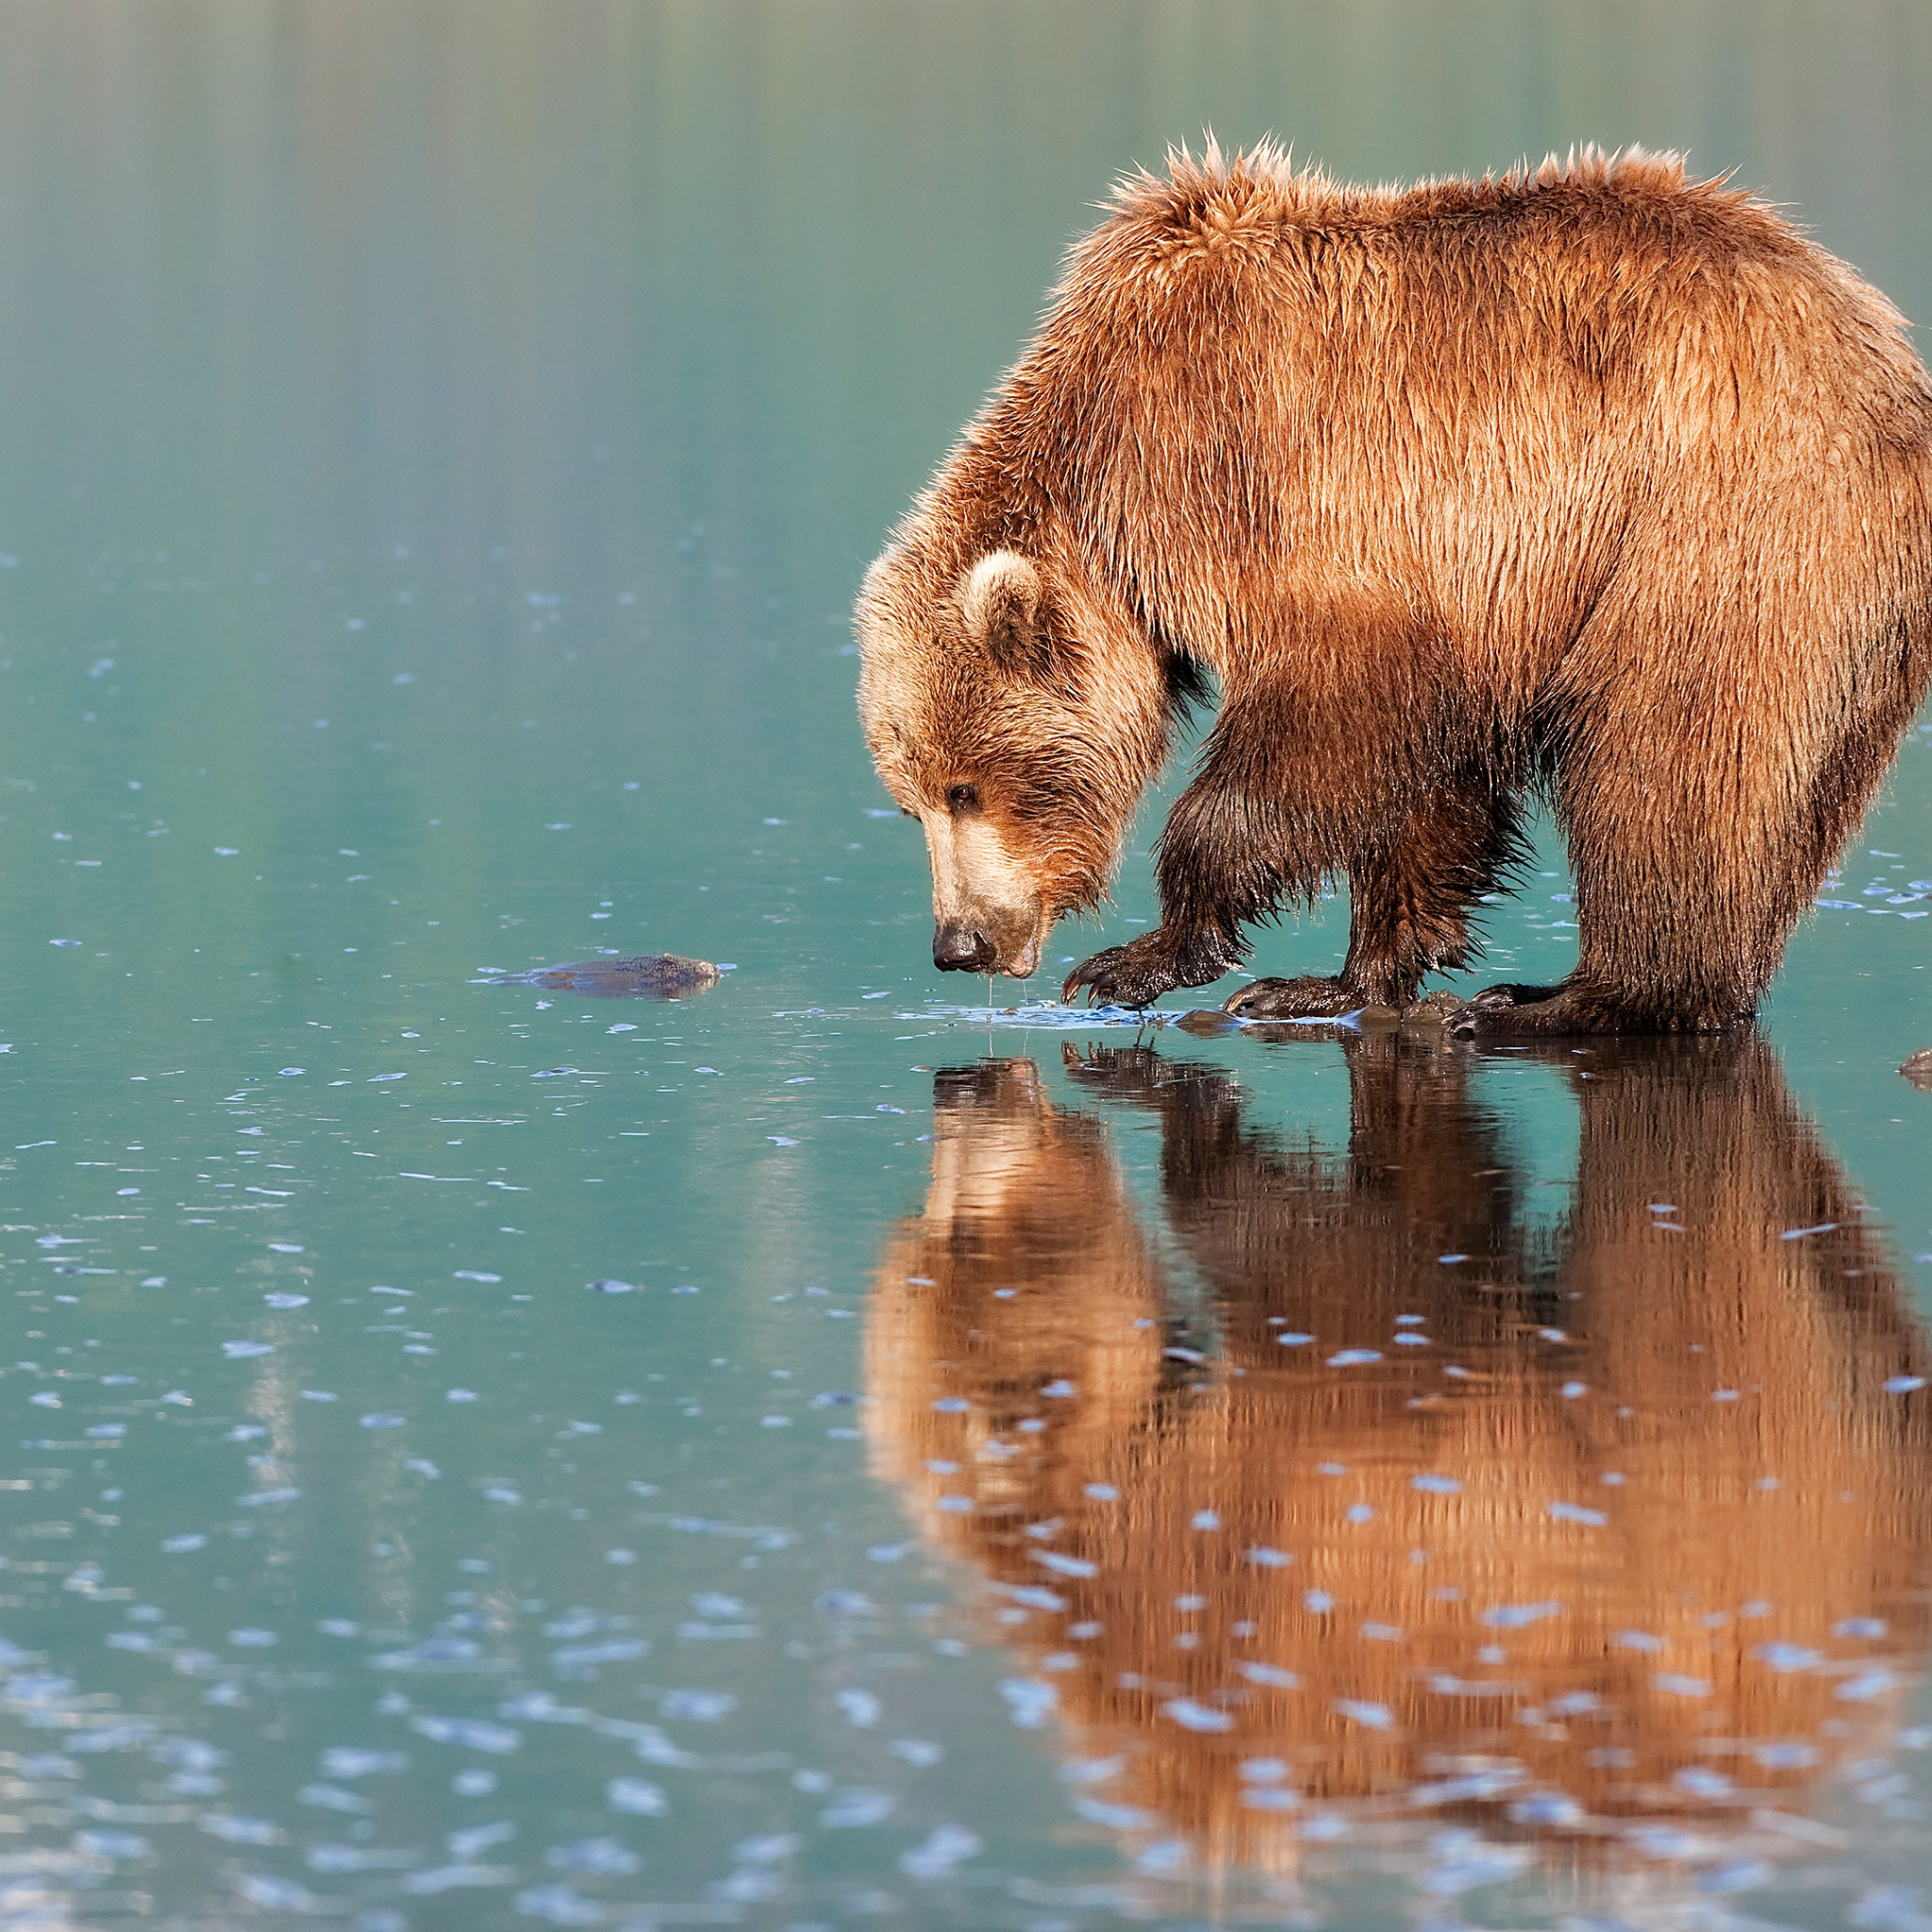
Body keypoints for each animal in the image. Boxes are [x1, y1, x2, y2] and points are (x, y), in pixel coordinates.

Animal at [858, 141, 1932, 1035]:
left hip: (1717, 524)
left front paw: (1138, 958)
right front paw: (1331, 980)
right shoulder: (1462, 595)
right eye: (909, 802)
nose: (959, 946)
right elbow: (1430, 780)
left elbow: (1328, 718)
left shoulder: (1271, 477)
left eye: (966, 786)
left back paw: (1574, 999)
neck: (1106, 480)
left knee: (1665, 751)